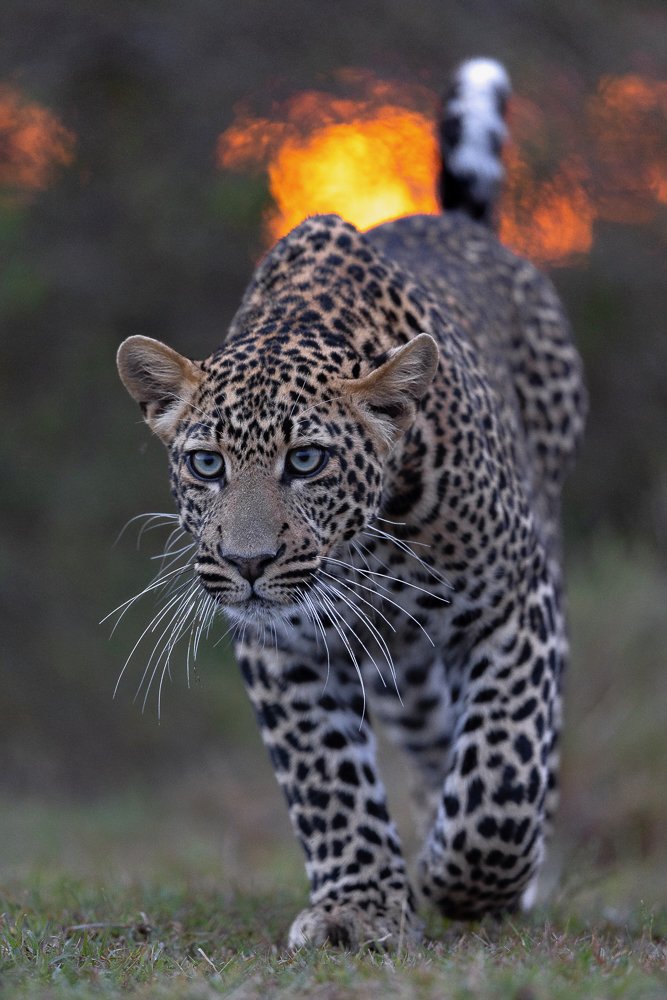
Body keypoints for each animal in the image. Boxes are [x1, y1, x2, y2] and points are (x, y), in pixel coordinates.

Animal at [115, 58, 586, 949]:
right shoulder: (280, 645)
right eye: (205, 464)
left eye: (306, 461)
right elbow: (326, 781)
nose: (248, 563)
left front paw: (467, 880)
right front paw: (358, 908)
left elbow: (503, 770)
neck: (362, 547)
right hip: (402, 663)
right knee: (431, 739)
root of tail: (455, 224)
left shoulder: (515, 604)